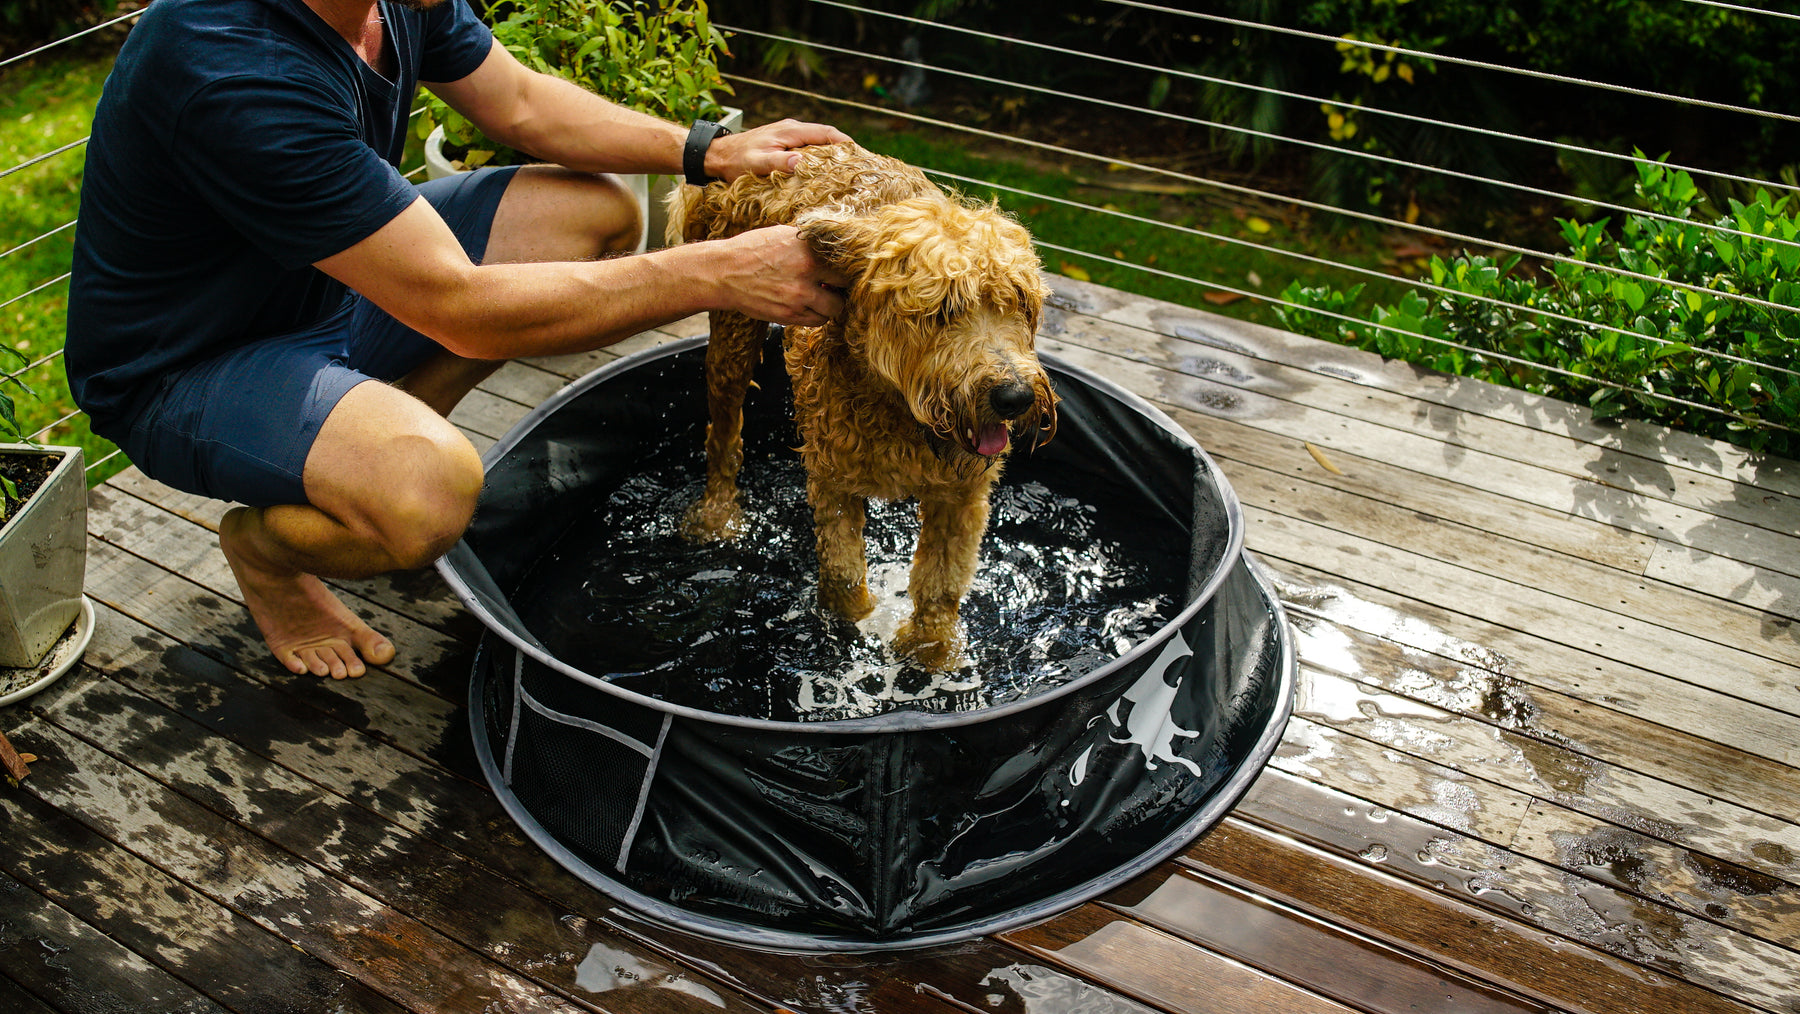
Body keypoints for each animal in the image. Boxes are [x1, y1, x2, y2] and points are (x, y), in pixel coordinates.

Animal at [673, 138, 1051, 669]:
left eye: (1020, 304)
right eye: (943, 310)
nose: (1014, 398)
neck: (900, 411)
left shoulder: (962, 494)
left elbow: (941, 582)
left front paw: (930, 652)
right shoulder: (833, 482)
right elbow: (843, 573)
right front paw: (849, 631)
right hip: (732, 336)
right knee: (723, 435)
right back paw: (716, 515)